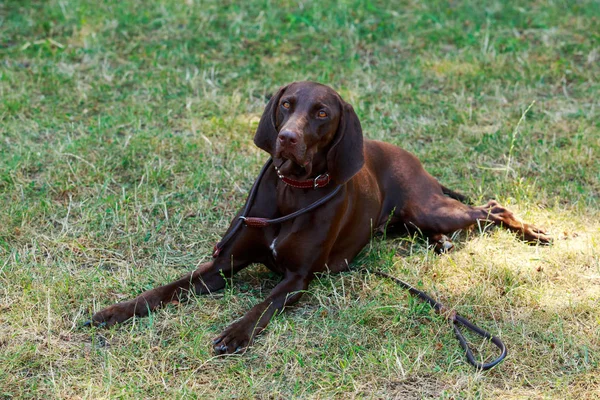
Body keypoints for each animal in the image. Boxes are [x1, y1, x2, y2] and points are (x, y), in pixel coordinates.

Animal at [88, 80, 548, 354]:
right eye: (286, 105)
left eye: (322, 112)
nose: (287, 138)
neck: (293, 192)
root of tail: (413, 160)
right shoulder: (221, 265)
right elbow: (164, 290)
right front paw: (115, 311)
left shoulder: (297, 279)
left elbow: (263, 306)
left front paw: (235, 332)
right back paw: (443, 244)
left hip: (429, 209)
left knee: (492, 208)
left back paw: (533, 232)